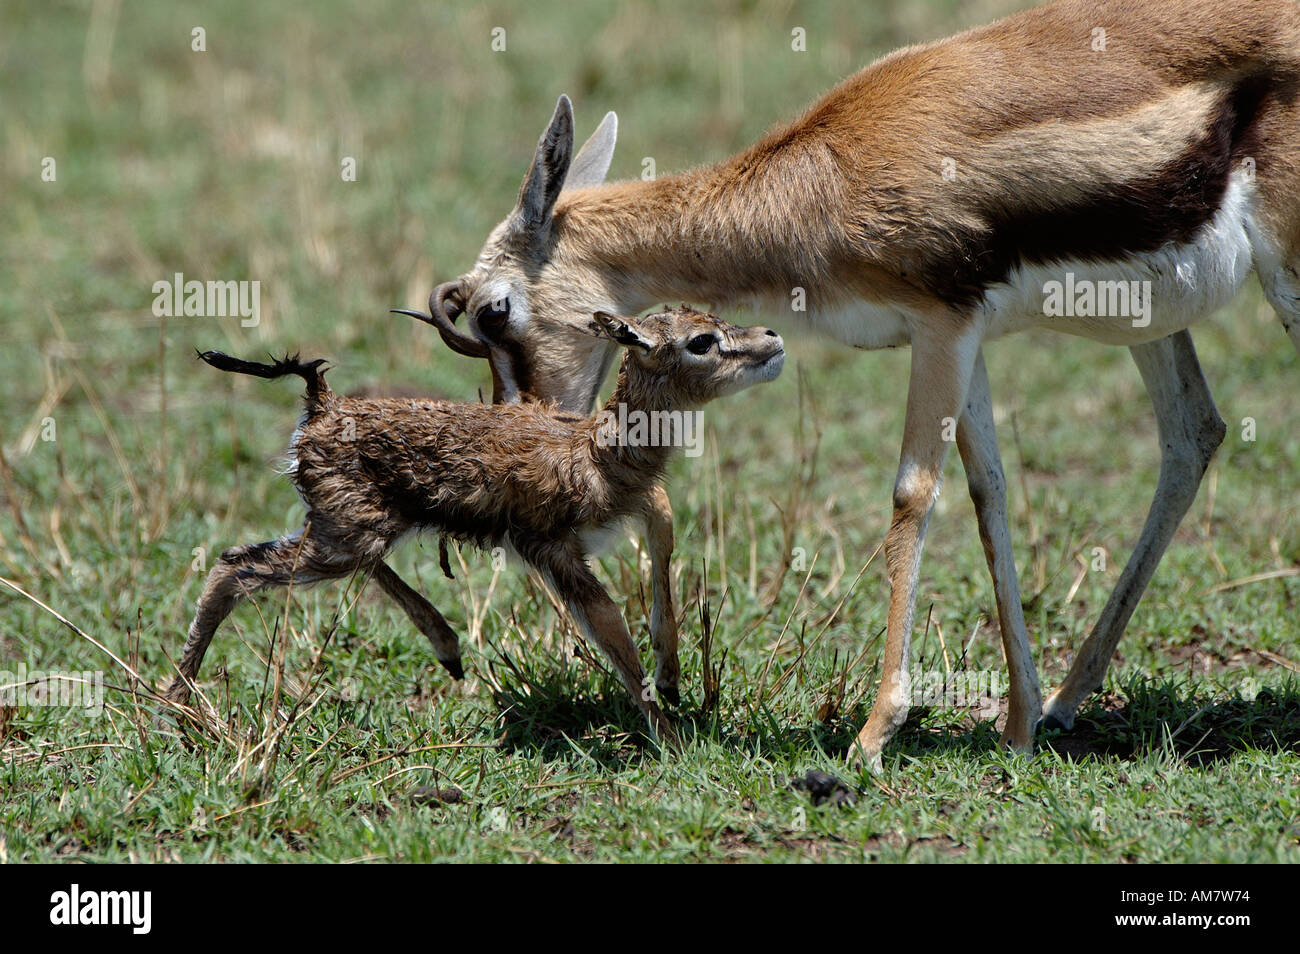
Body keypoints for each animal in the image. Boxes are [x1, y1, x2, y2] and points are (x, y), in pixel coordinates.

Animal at [165, 307, 785, 740]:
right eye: (701, 341)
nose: (772, 339)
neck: (596, 454)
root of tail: (322, 405)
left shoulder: (640, 506)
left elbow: (663, 541)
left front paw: (673, 678)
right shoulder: (555, 552)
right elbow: (611, 630)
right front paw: (670, 739)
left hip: (348, 530)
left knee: (332, 563)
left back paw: (449, 650)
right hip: (340, 540)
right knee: (232, 569)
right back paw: (177, 707)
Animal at [424, 0, 1300, 771]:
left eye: (497, 310)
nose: (526, 430)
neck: (831, 171)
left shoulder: (941, 329)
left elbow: (913, 494)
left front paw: (874, 736)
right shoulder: (963, 338)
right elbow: (989, 492)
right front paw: (1018, 727)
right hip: (1152, 325)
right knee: (1193, 432)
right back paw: (1063, 703)